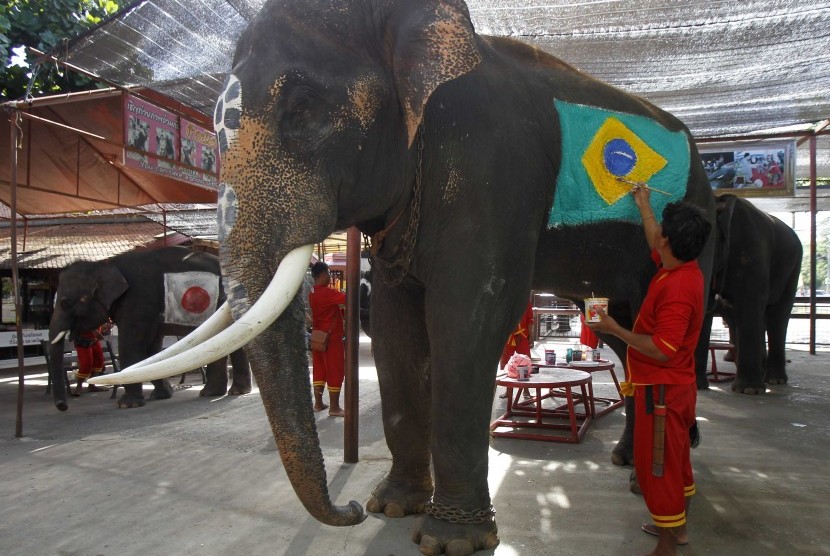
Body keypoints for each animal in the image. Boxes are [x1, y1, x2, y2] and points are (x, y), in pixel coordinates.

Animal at [48, 245, 250, 410]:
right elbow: (152, 349)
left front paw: (127, 405)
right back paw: (213, 393)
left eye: (66, 304)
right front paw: (160, 396)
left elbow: (131, 345)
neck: (105, 264)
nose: (62, 406)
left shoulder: (138, 301)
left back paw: (234, 392)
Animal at [96, 2, 716, 552]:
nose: (347, 508)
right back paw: (629, 462)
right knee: (630, 338)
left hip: (697, 224)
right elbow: (397, 327)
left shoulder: (493, 165)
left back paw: (665, 474)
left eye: (303, 108)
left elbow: (468, 316)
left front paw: (451, 540)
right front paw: (392, 507)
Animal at [704, 193, 808, 394]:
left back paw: (773, 380)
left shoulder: (751, 249)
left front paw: (747, 391)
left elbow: (749, 304)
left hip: (793, 268)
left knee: (777, 316)